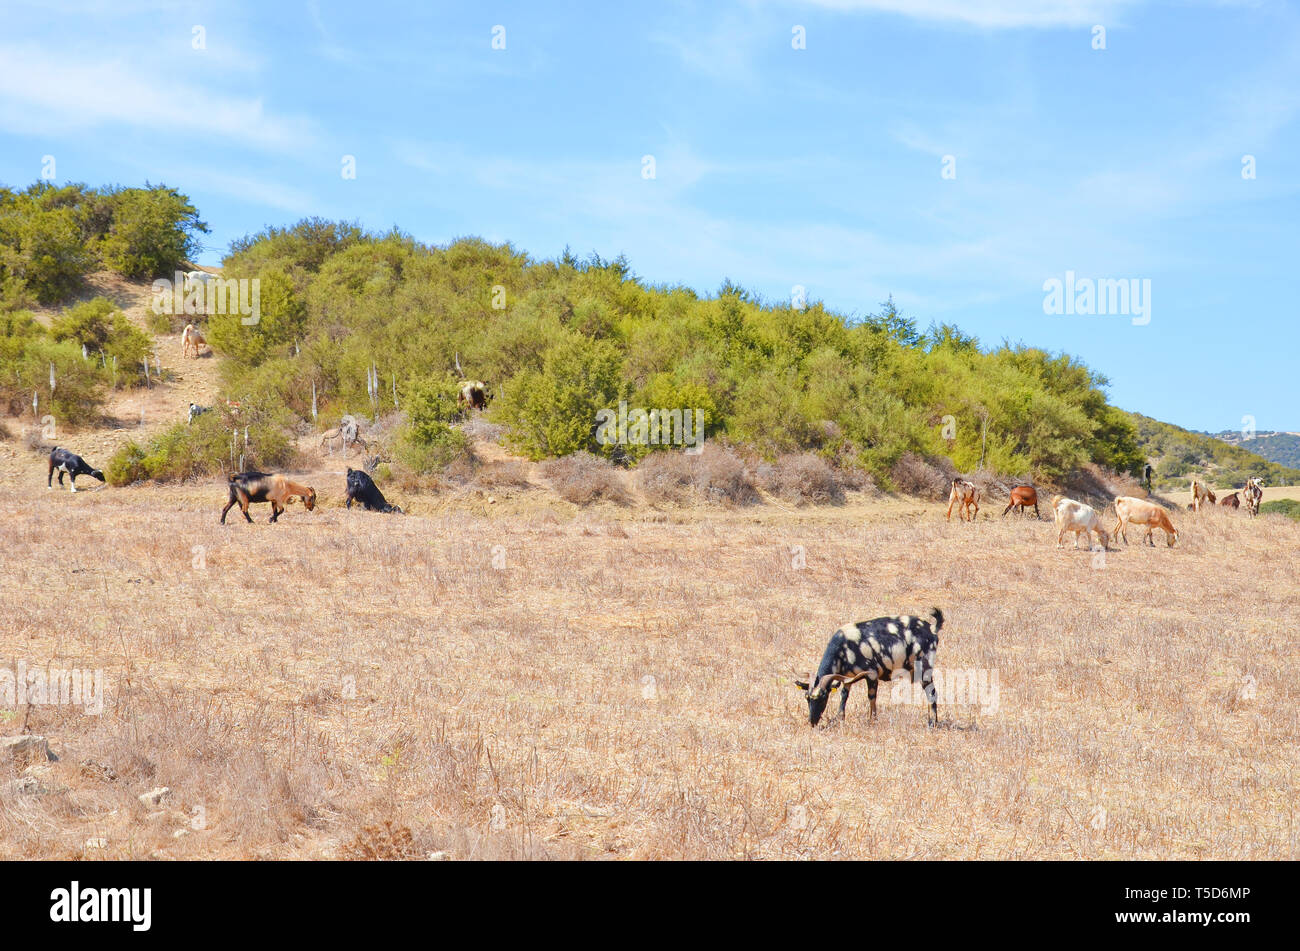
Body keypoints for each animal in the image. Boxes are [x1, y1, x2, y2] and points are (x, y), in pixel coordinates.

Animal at [790, 608, 946, 727]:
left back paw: (932, 723)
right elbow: (844, 695)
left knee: (931, 692)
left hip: (925, 667)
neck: (843, 648)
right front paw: (839, 717)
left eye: (823, 697)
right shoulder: (847, 677)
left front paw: (872, 720)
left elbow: (871, 696)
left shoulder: (872, 674)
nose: (812, 721)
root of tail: (932, 629)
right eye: (807, 697)